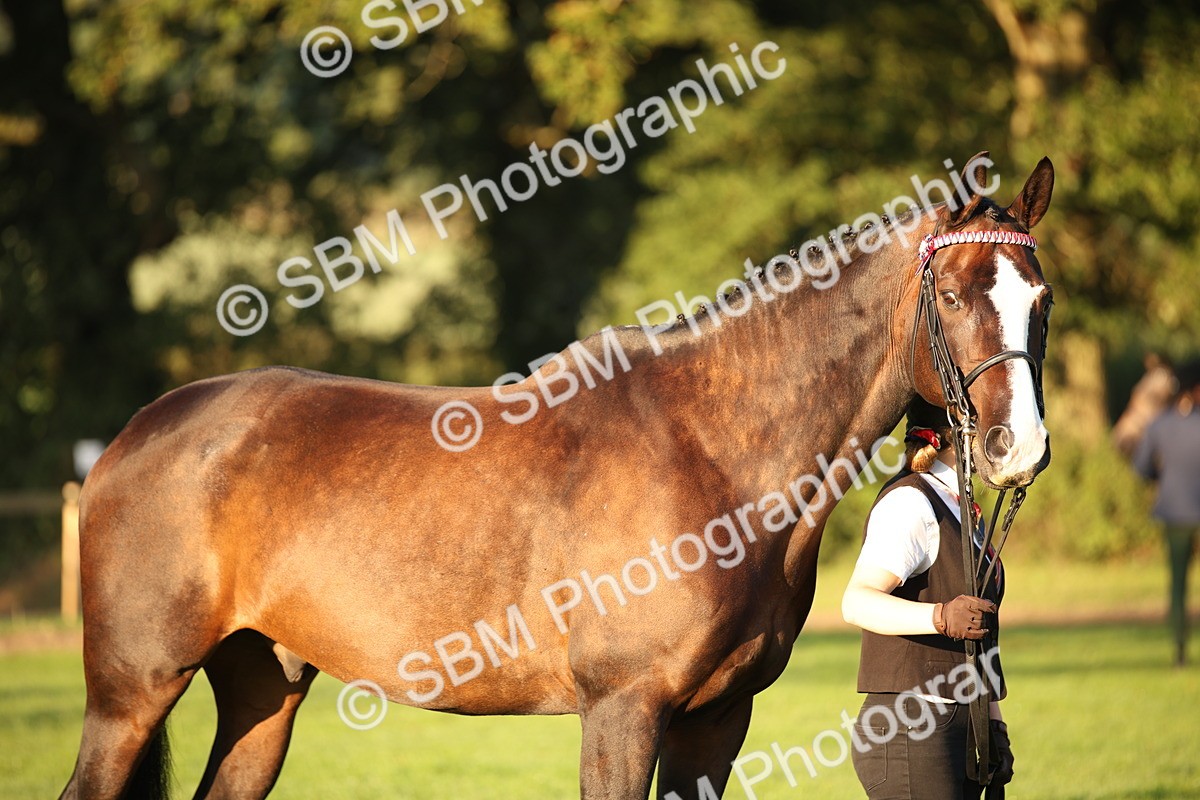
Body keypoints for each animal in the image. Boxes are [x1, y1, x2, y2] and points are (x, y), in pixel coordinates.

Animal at [60, 152, 1054, 800]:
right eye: (952, 296)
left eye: (1040, 300)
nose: (1019, 447)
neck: (714, 453)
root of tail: (139, 432)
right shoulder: (622, 709)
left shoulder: (714, 720)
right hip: (130, 694)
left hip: (262, 688)